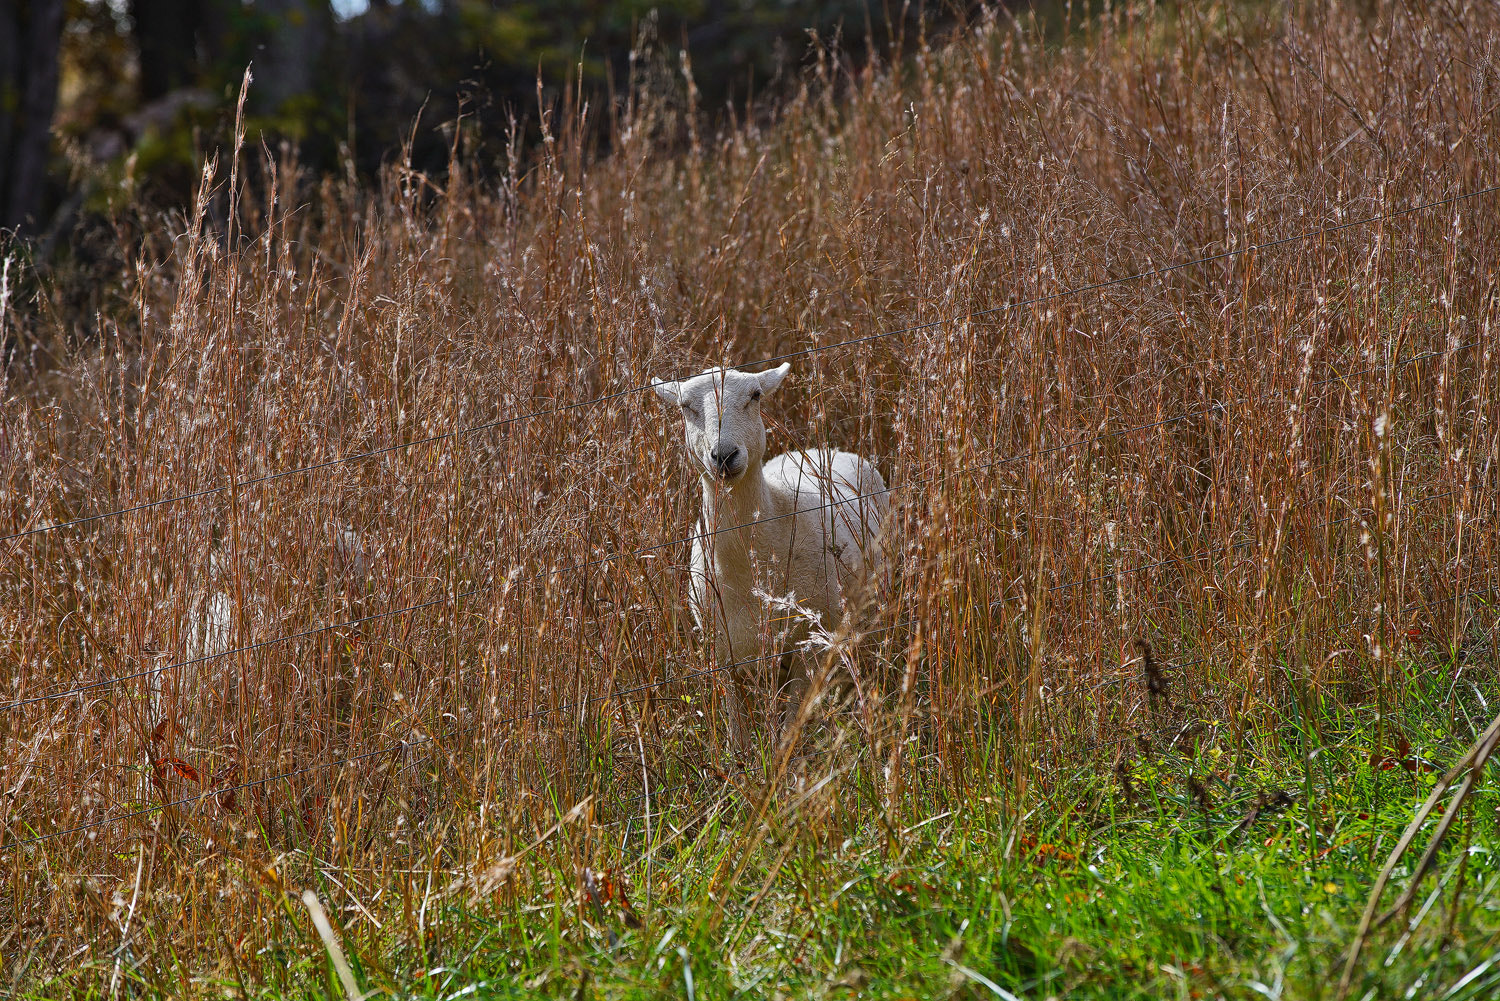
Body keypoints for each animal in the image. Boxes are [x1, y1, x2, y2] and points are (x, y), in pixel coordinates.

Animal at [648, 364, 882, 747]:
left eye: (755, 396)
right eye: (685, 406)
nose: (723, 455)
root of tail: (826, 448)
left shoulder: (807, 646)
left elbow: (789, 730)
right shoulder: (723, 650)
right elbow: (737, 729)